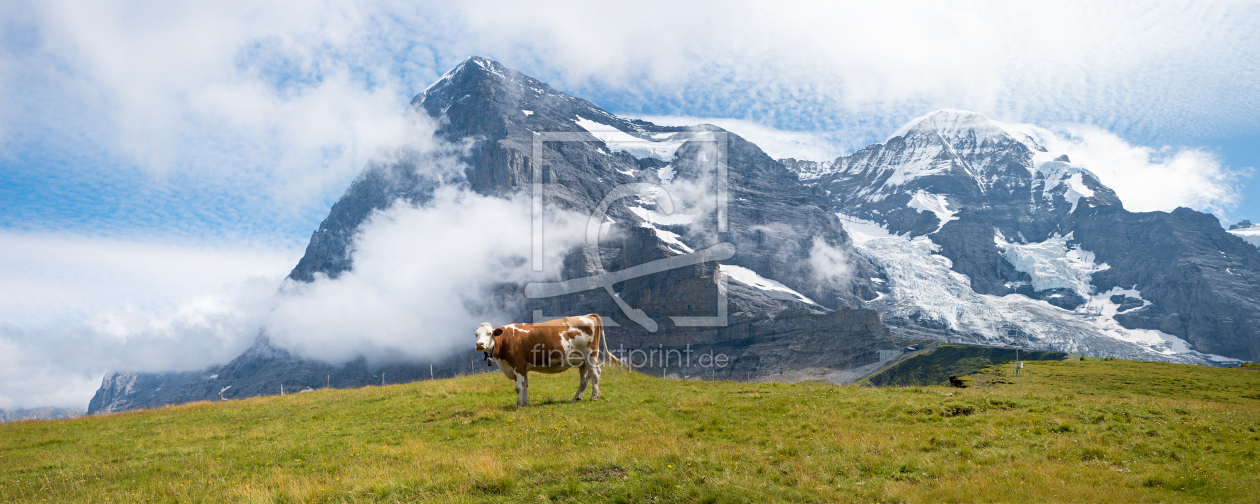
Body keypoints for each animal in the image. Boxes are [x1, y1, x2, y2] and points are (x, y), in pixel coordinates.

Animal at [473, 312, 619, 408]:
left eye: (490, 333)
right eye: (476, 334)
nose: (479, 345)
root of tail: (589, 315)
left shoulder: (518, 365)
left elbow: (518, 387)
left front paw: (518, 405)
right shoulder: (523, 367)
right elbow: (525, 385)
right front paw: (525, 403)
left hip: (590, 354)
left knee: (595, 373)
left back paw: (594, 396)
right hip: (581, 359)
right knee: (584, 377)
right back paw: (576, 397)